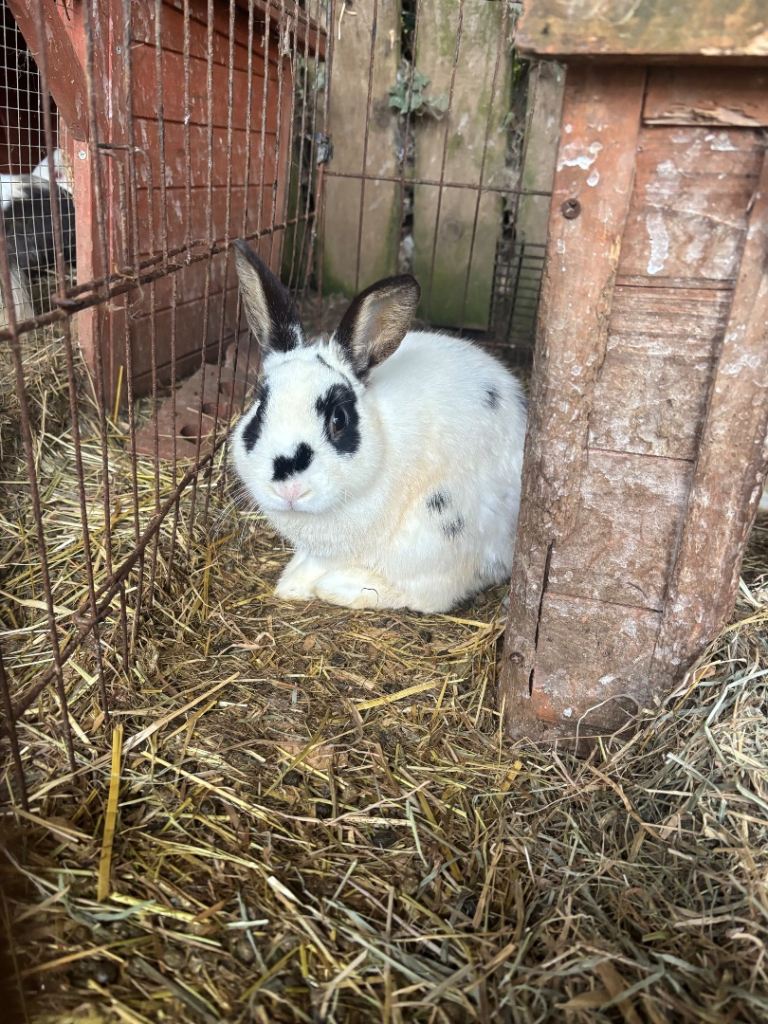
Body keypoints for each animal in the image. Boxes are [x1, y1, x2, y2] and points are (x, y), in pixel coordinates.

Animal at [229, 238, 527, 614]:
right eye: (259, 408)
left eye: (338, 419)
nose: (289, 489)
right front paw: (291, 583)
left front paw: (303, 585)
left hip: (439, 528)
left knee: (428, 596)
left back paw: (341, 587)